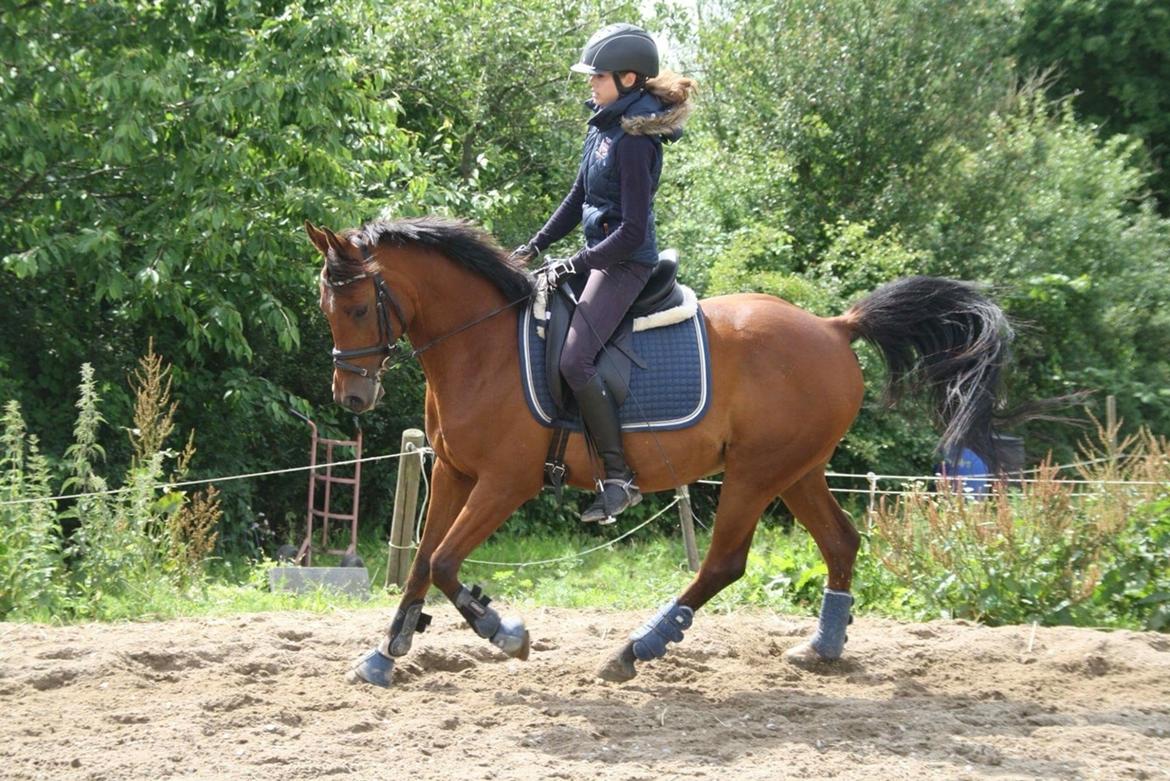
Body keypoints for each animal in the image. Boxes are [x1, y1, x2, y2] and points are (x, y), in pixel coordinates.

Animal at [305, 215, 1012, 687]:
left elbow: (448, 562)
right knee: (839, 542)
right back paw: (822, 648)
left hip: (755, 473)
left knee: (725, 563)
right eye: (326, 305)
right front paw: (386, 652)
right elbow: (422, 562)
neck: (481, 347)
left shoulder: (506, 481)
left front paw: (504, 633)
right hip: (798, 469)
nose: (353, 396)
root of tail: (835, 327)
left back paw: (635, 649)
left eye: (360, 306)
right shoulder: (453, 472)